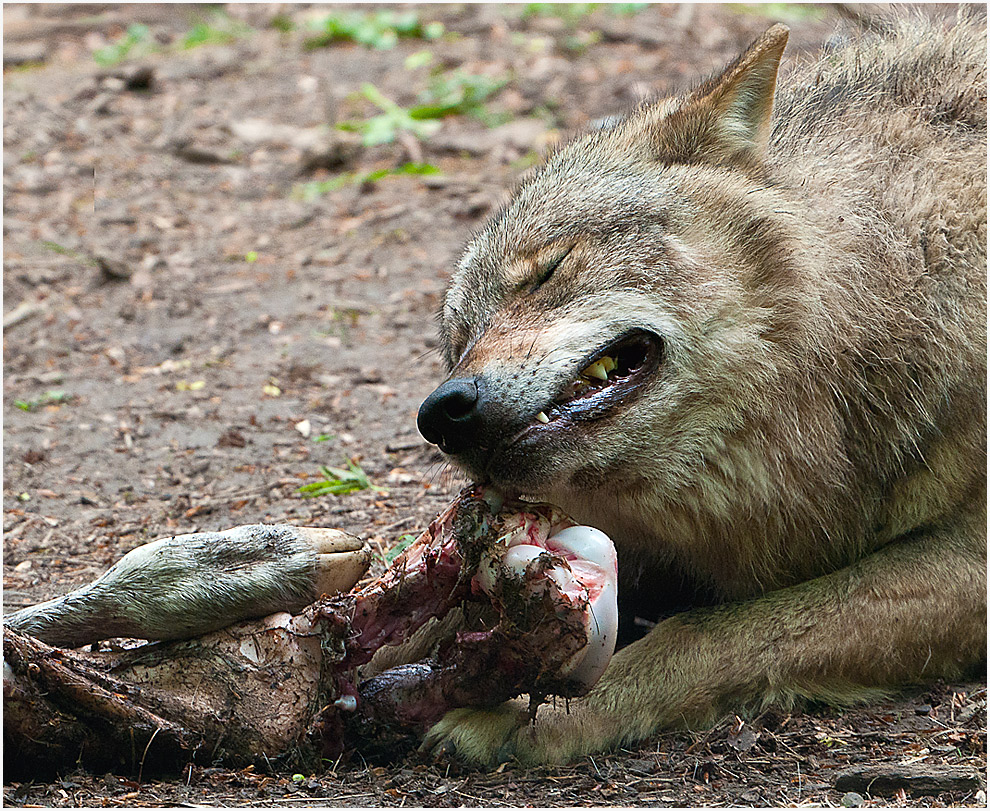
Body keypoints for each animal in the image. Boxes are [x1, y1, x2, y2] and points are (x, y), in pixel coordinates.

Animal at [414, 12, 988, 764]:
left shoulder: (969, 559)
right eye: (460, 338)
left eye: (548, 271)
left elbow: (715, 632)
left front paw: (539, 712)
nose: (443, 410)